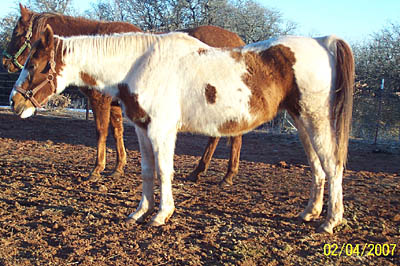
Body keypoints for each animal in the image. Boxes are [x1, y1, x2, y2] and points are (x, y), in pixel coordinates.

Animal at [3, 4, 244, 184]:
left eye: (16, 33)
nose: (6, 61)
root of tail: (238, 41)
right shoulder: (115, 103)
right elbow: (116, 131)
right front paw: (118, 167)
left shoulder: (99, 100)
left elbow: (101, 131)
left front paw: (97, 169)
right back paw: (200, 171)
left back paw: (226, 175)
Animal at [8, 25, 354, 233]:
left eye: (36, 65)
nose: (14, 102)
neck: (140, 63)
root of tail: (324, 43)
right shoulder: (141, 129)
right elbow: (148, 172)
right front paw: (139, 212)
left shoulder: (161, 130)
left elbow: (164, 171)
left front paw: (161, 215)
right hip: (301, 121)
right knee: (317, 168)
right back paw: (310, 213)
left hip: (315, 119)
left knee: (332, 166)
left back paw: (330, 222)